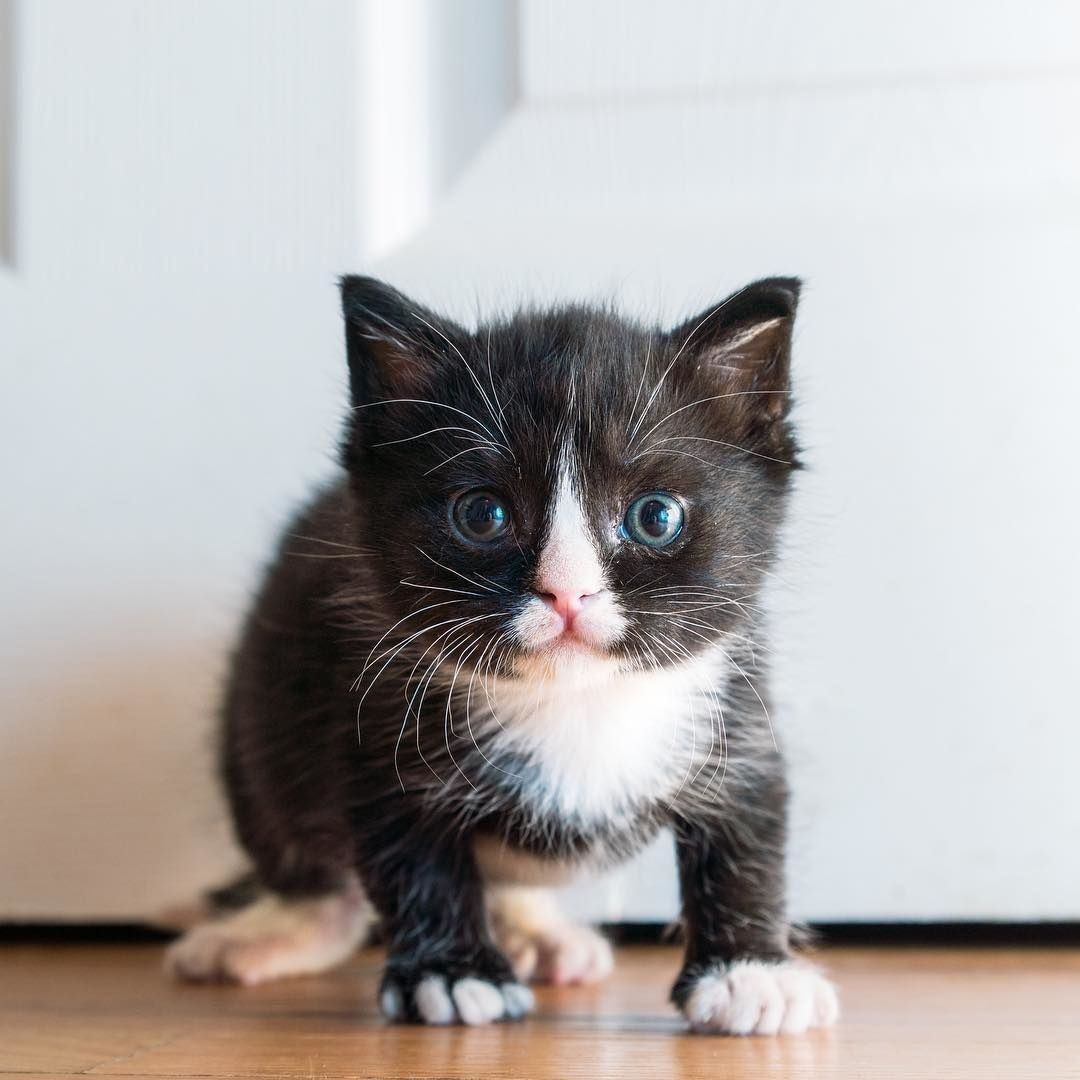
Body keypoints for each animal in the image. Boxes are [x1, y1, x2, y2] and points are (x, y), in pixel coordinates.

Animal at [164, 274, 838, 1032]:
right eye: (483, 514)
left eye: (655, 516)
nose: (568, 593)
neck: (576, 699)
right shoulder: (376, 718)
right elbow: (414, 859)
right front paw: (452, 973)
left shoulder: (737, 709)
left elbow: (747, 833)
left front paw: (753, 972)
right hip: (262, 722)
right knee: (311, 862)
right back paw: (266, 936)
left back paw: (536, 933)